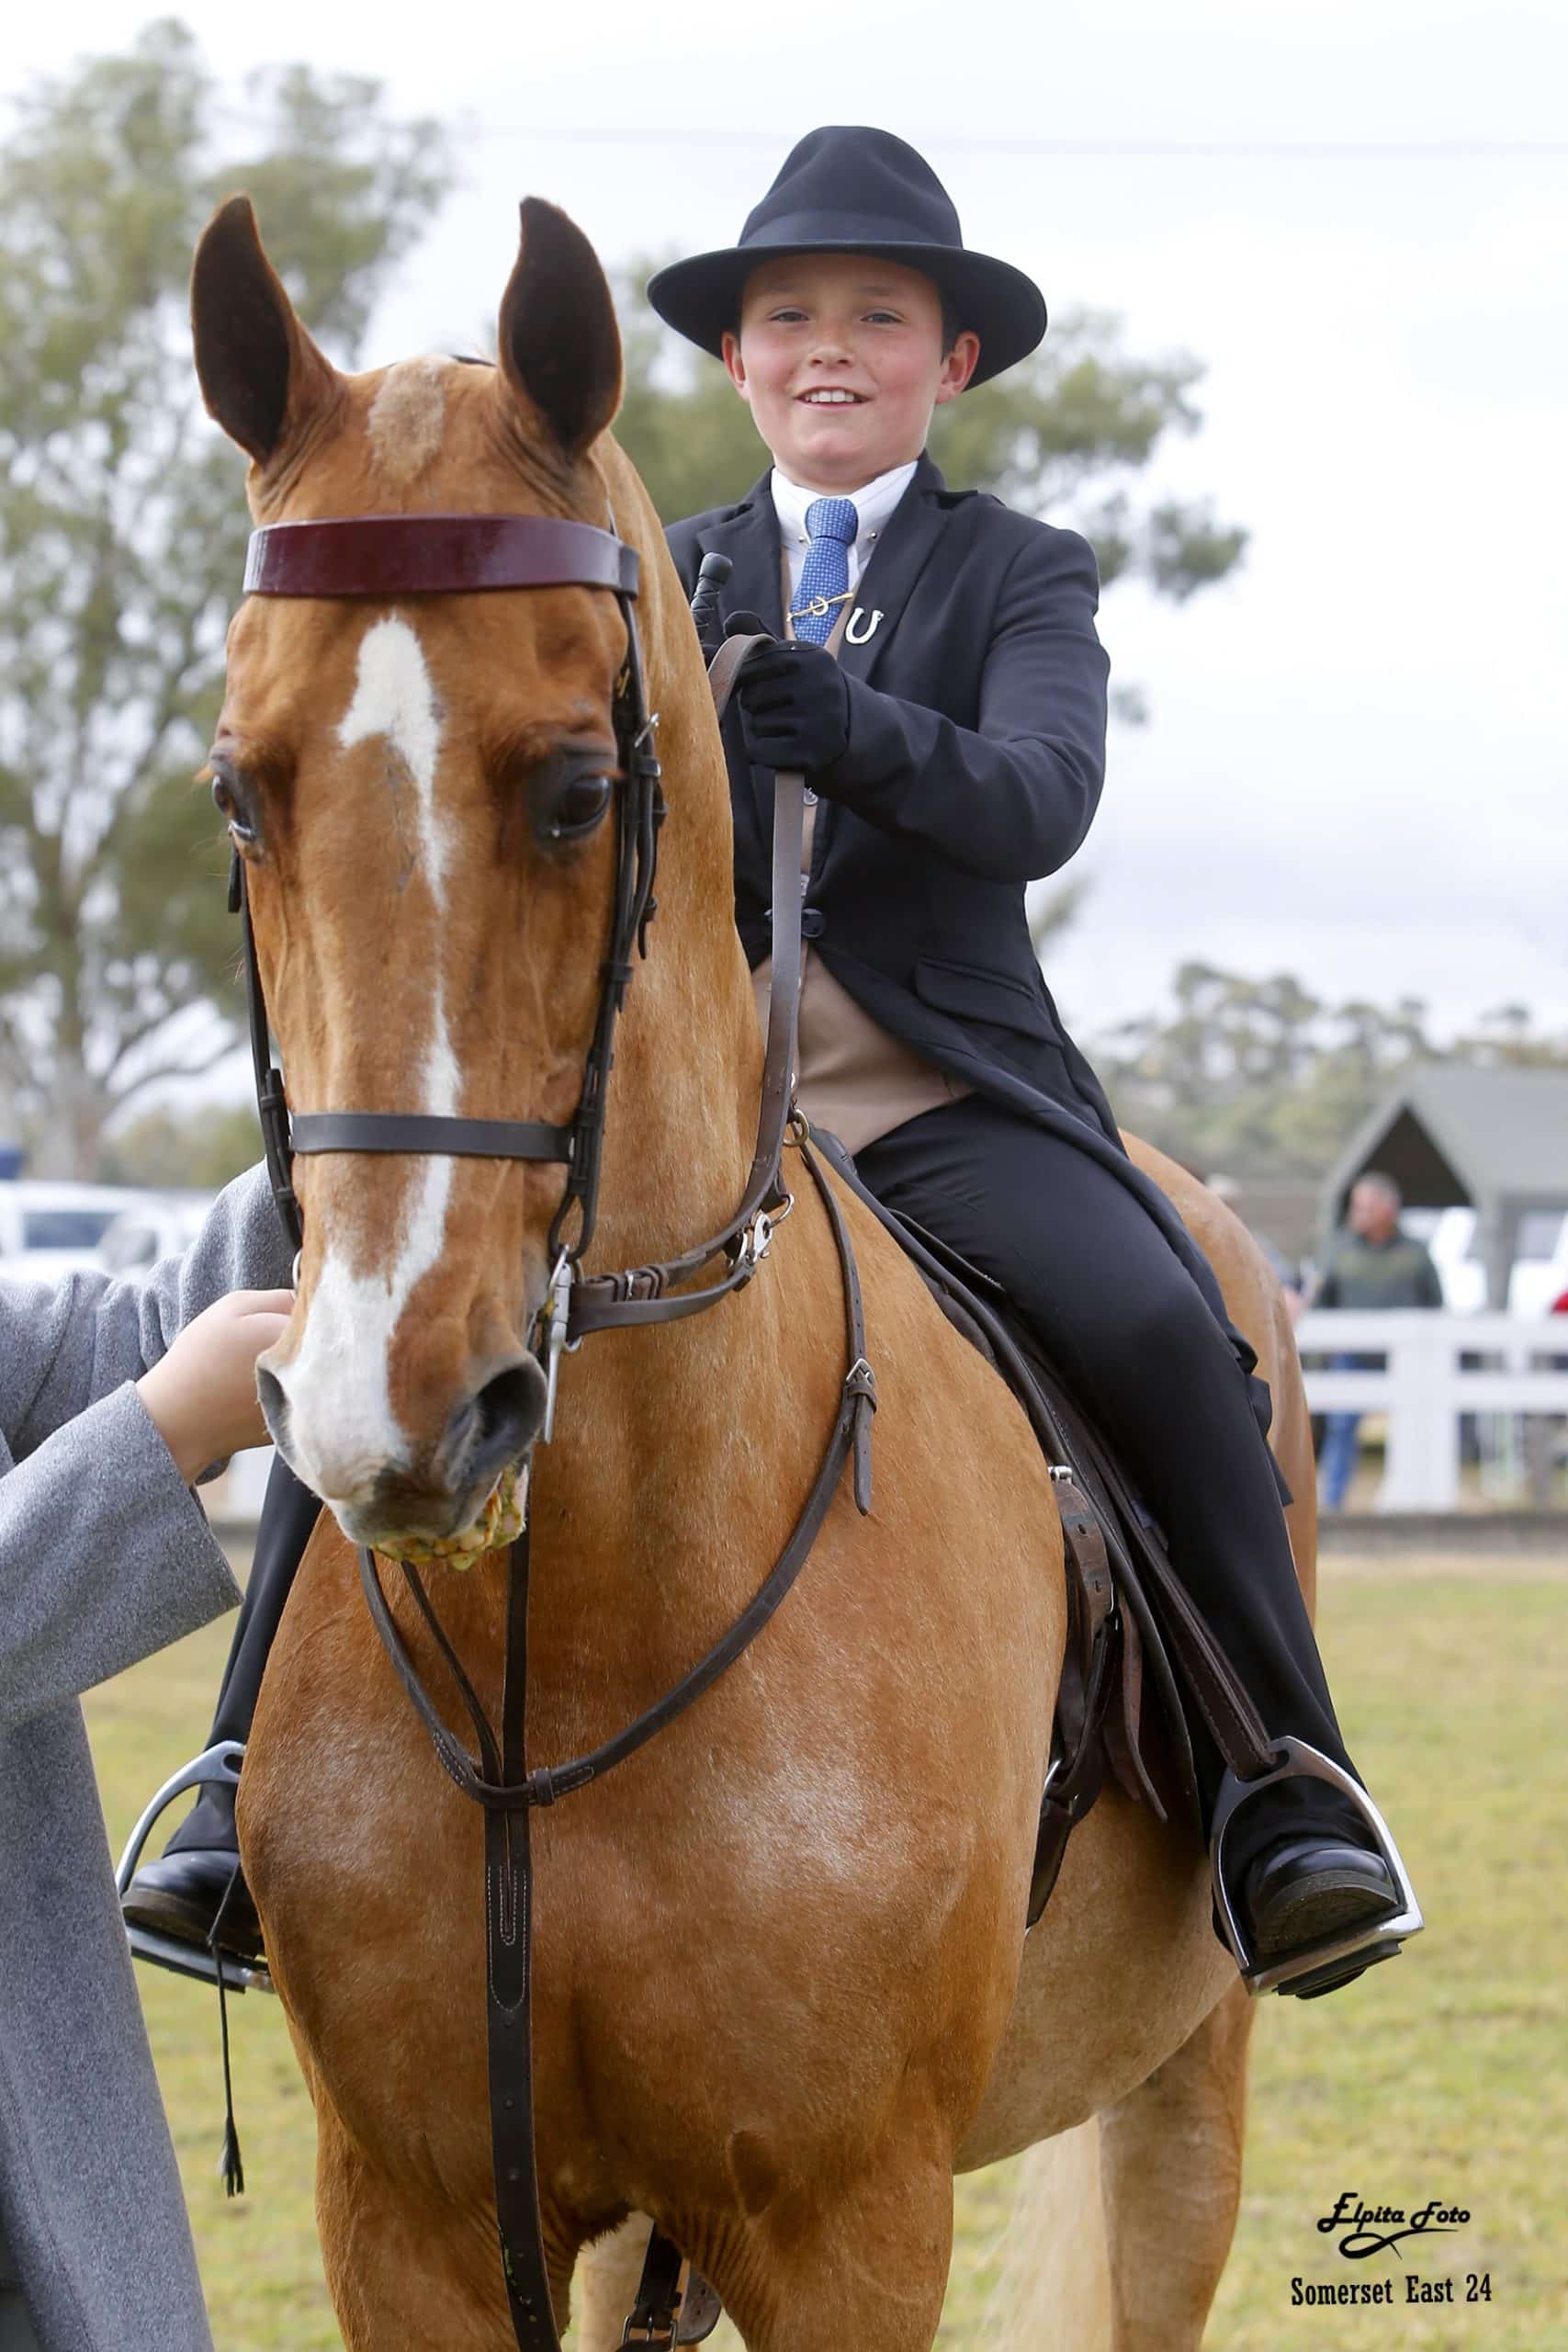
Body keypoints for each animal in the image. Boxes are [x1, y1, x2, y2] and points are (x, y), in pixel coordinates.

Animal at [192, 187, 1325, 2352]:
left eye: (577, 786)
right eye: (240, 786)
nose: (404, 1417)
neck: (586, 1621)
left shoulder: (849, 2219)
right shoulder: (416, 2215)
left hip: (1183, 2094)